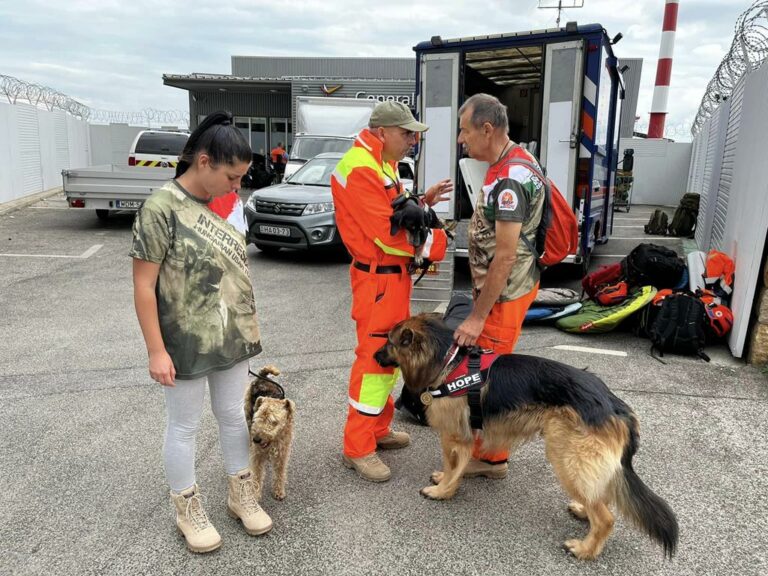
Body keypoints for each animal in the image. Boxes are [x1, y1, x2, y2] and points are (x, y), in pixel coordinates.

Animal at [244, 368, 296, 500]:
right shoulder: (257, 455)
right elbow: (257, 474)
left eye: (273, 421)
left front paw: (278, 491)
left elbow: (280, 473)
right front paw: (256, 494)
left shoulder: (282, 454)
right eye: (257, 418)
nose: (256, 440)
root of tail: (261, 377)